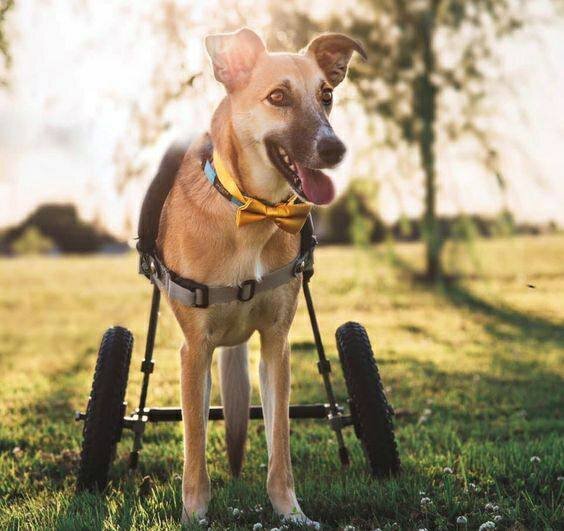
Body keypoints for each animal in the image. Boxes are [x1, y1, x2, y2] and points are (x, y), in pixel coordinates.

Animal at [154, 28, 366, 524]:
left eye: (327, 96)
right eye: (278, 97)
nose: (335, 149)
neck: (250, 212)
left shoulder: (276, 344)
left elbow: (279, 442)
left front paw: (290, 512)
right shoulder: (194, 351)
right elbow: (194, 444)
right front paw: (194, 516)